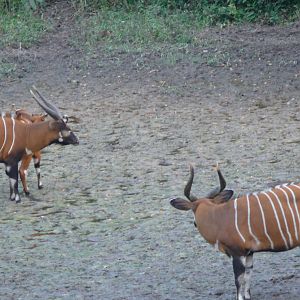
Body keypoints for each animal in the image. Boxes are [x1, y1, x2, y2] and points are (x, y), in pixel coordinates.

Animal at [171, 164, 300, 300]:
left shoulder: (237, 252)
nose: (195, 223)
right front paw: (247, 296)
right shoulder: (249, 253)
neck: (218, 217)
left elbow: (238, 279)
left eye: (193, 210)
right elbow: (248, 276)